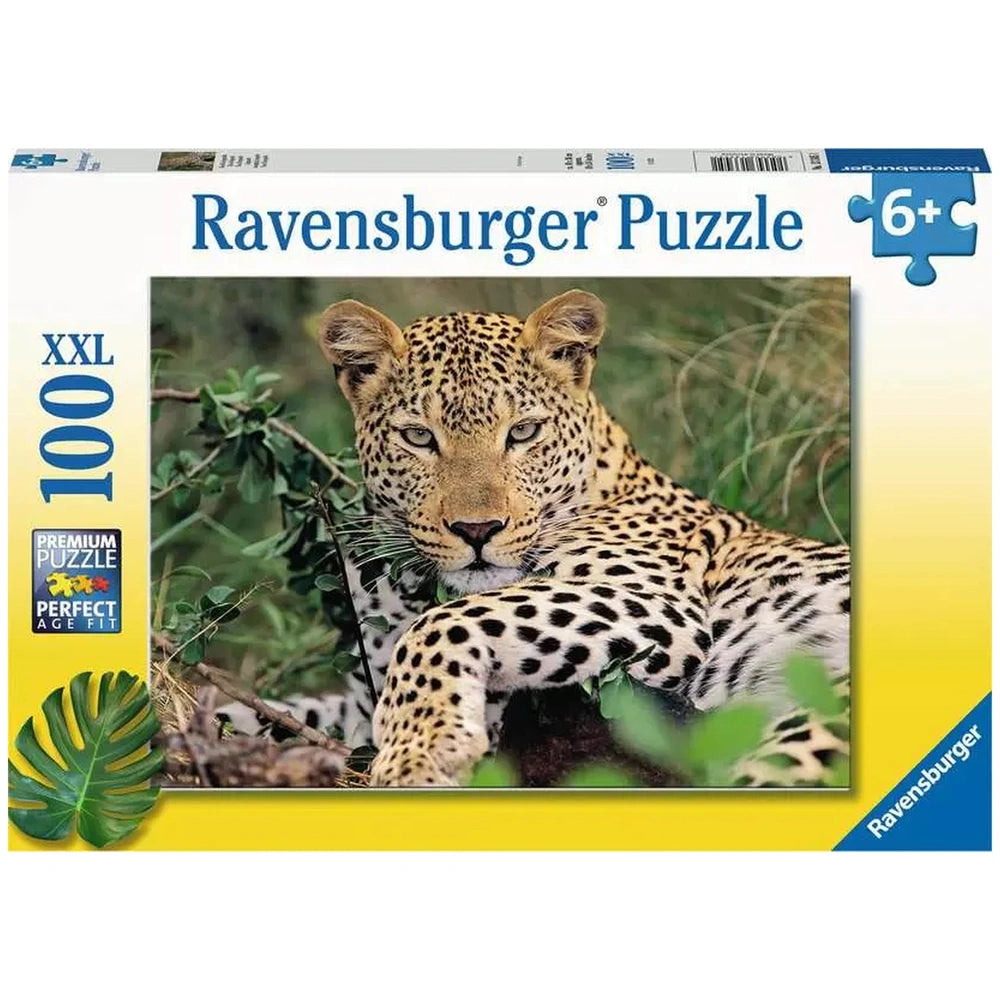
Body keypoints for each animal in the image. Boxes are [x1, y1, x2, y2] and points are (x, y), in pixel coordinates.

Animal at [218, 289, 850, 788]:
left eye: (522, 432)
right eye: (419, 437)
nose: (477, 530)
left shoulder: (659, 604)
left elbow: (444, 622)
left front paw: (421, 750)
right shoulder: (357, 701)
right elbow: (270, 711)